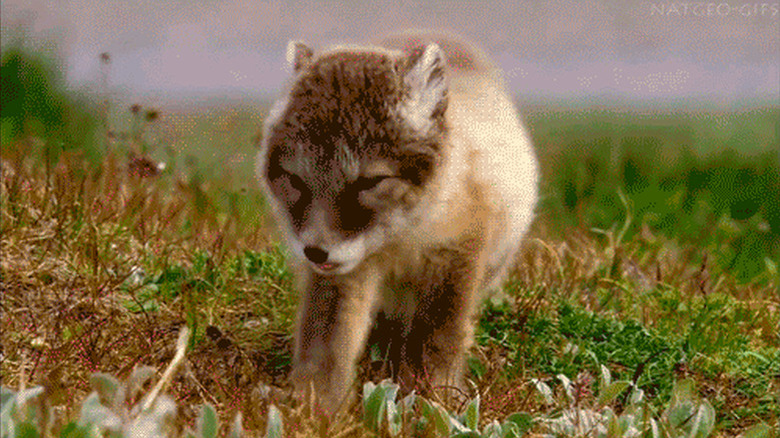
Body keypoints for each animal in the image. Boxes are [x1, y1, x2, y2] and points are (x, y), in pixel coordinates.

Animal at [256, 30, 538, 411]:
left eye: (370, 182)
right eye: (296, 180)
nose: (315, 251)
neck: (401, 240)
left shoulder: (455, 255)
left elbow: (437, 337)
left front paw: (433, 398)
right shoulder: (346, 271)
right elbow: (326, 340)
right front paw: (315, 404)